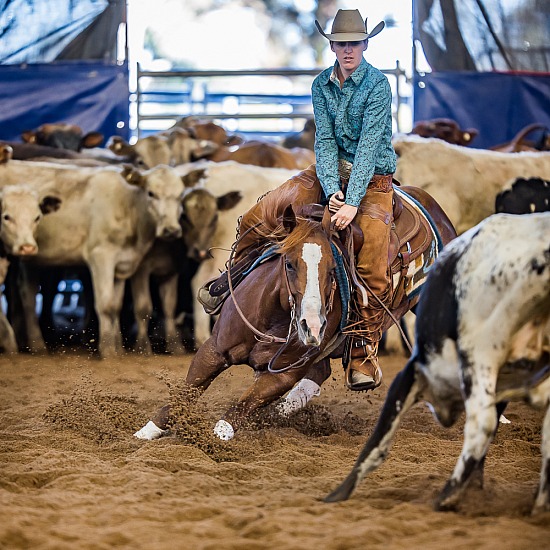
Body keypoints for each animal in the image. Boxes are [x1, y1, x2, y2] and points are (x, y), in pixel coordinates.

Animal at [0, 160, 187, 358]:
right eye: (151, 193)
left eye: (181, 195)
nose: (171, 230)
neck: (127, 205)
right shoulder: (101, 257)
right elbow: (106, 304)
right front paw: (107, 349)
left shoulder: (121, 265)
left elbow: (116, 306)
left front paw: (119, 348)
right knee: (28, 297)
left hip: (30, 260)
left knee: (27, 293)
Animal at [135, 185, 458, 444]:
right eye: (288, 263)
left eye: (333, 270)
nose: (312, 327)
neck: (272, 318)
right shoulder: (213, 350)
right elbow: (183, 395)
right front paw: (145, 432)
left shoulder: (283, 374)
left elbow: (237, 411)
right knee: (319, 372)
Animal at [326, 213, 550, 516]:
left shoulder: (413, 373)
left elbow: (377, 442)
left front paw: (338, 493)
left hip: (478, 355)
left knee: (481, 424)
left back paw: (446, 496)